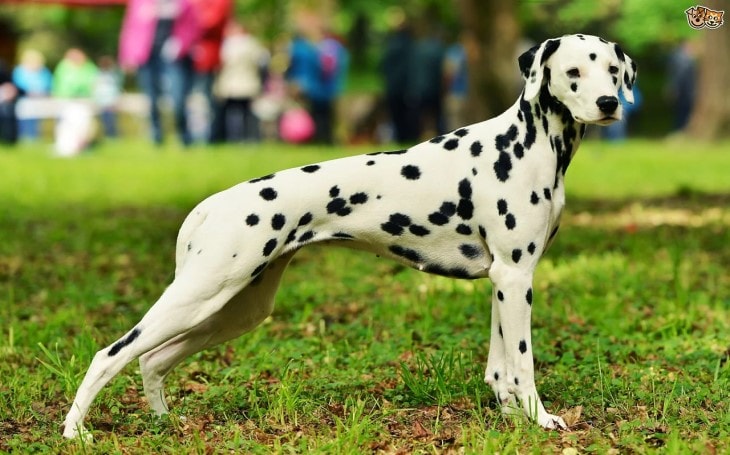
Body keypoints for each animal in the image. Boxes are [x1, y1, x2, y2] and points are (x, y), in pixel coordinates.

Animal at [61, 33, 632, 440]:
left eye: (611, 69)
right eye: (572, 72)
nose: (609, 102)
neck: (528, 144)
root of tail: (211, 206)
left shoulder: (505, 278)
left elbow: (501, 366)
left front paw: (512, 419)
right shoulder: (515, 278)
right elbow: (523, 362)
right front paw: (541, 420)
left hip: (234, 309)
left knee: (151, 360)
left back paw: (164, 423)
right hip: (200, 297)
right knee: (111, 354)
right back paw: (76, 432)